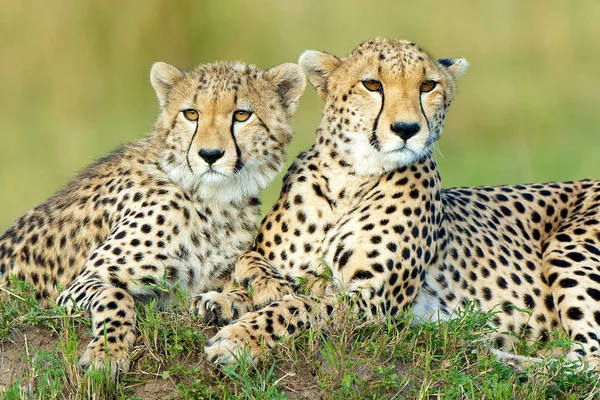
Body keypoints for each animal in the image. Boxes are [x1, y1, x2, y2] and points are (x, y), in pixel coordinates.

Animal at [0, 57, 308, 376]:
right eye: (191, 113)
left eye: (242, 114)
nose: (209, 155)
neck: (214, 200)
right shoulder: (81, 283)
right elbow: (117, 296)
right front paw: (106, 354)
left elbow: (246, 262)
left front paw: (264, 286)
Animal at [197, 39, 600, 370]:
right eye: (372, 85)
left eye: (427, 86)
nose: (407, 129)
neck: (349, 179)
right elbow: (257, 272)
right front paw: (225, 299)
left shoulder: (373, 301)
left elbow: (303, 306)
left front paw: (240, 338)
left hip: (570, 245)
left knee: (586, 361)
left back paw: (488, 351)